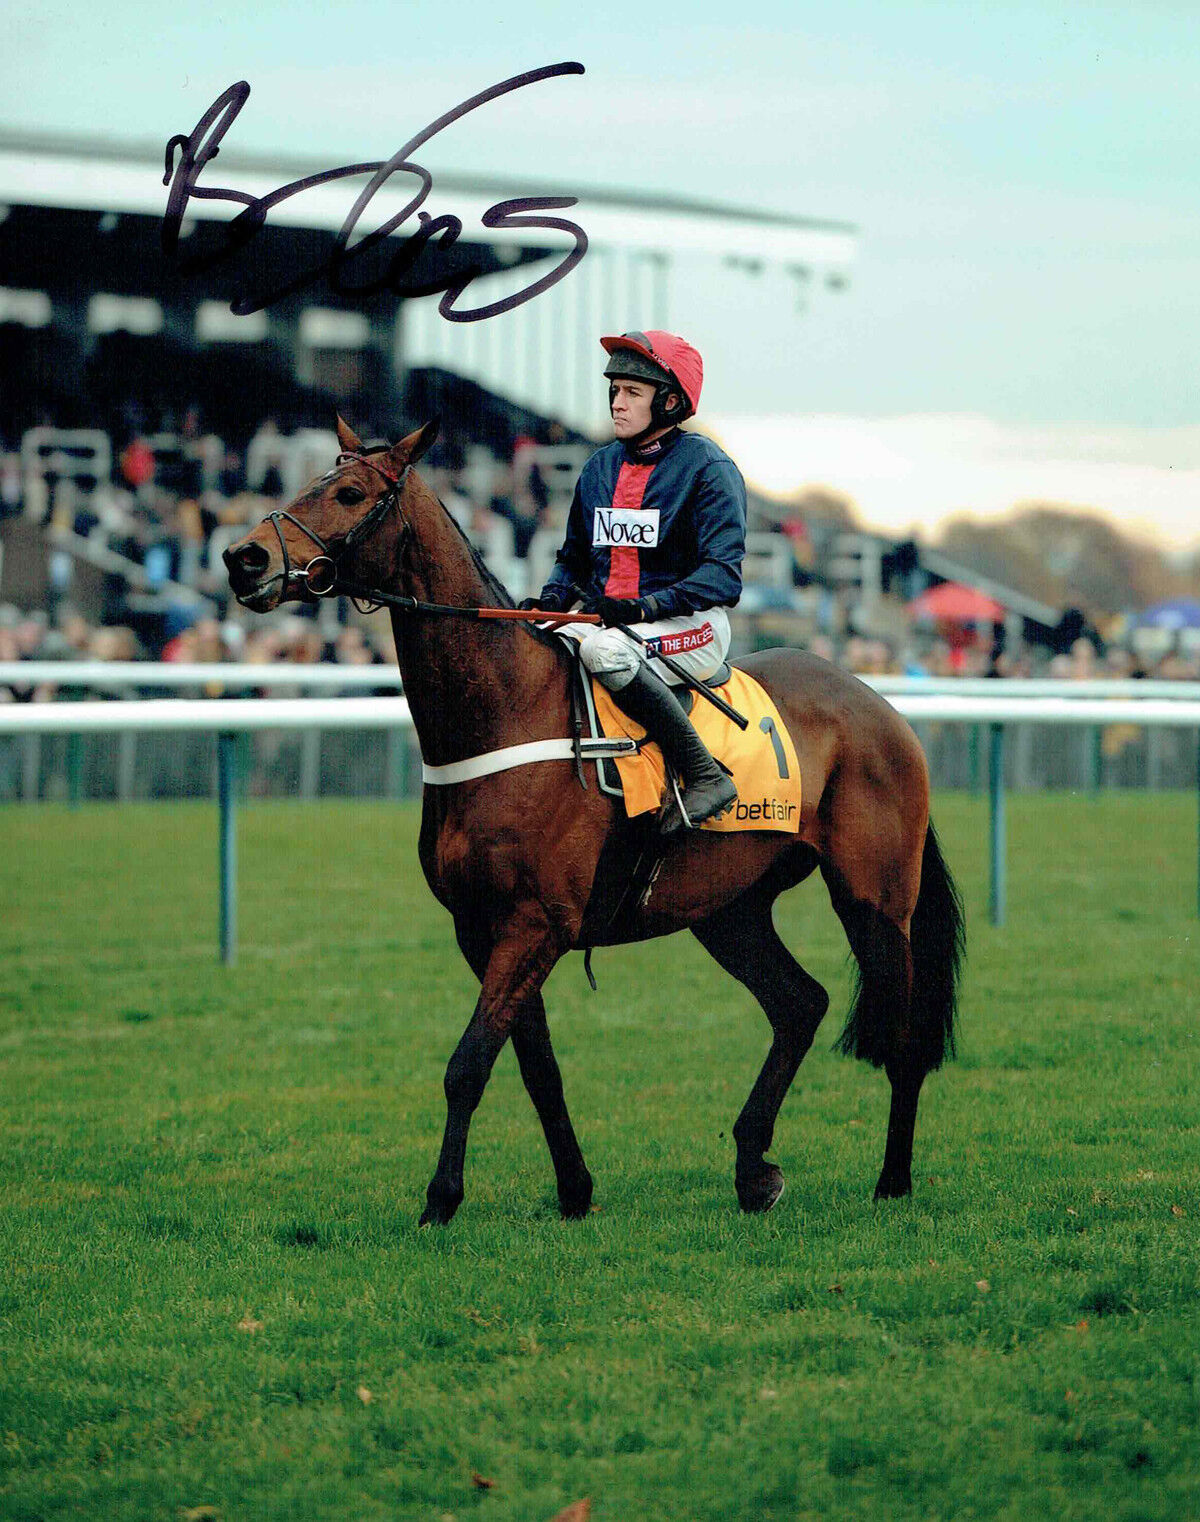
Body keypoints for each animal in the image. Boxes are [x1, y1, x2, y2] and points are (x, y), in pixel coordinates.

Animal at [225, 420, 968, 1223]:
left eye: (350, 493)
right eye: (309, 480)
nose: (244, 558)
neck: (506, 709)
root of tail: (878, 706)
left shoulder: (535, 923)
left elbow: (468, 1065)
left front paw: (440, 1202)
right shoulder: (480, 927)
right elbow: (535, 1067)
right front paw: (575, 1192)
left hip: (874, 899)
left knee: (902, 1033)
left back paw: (892, 1182)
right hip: (729, 908)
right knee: (800, 1004)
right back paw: (753, 1168)